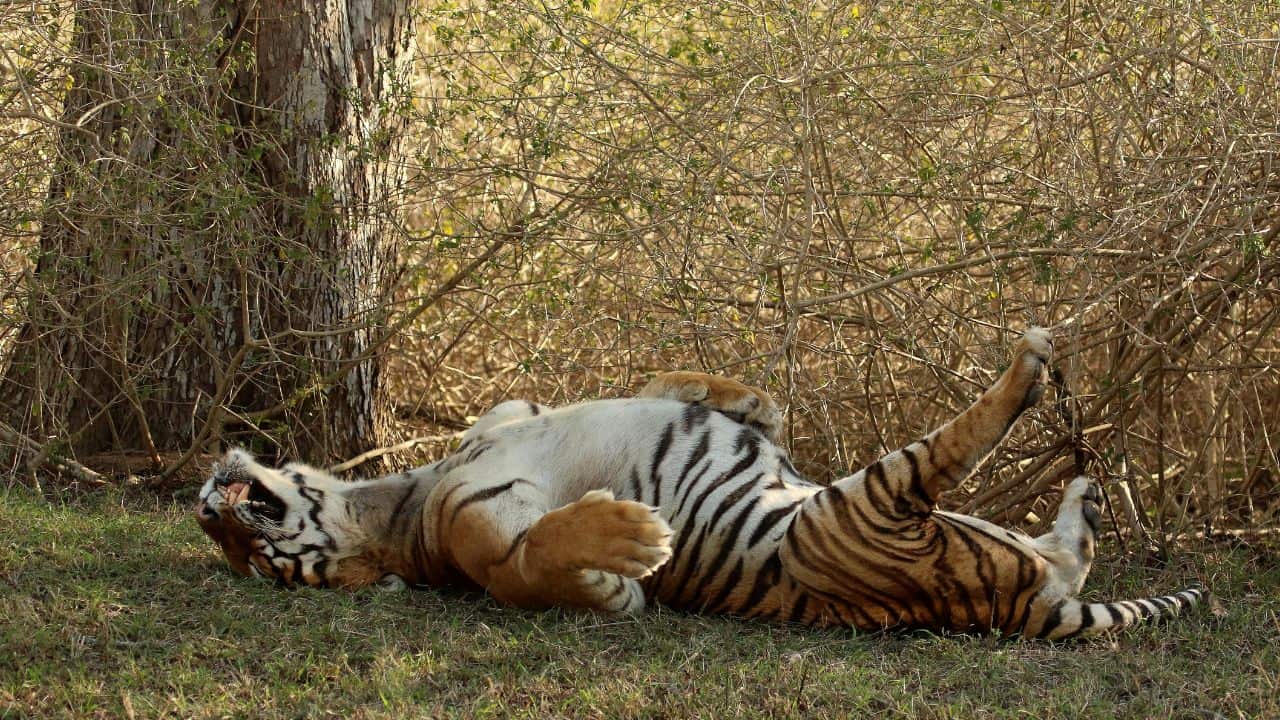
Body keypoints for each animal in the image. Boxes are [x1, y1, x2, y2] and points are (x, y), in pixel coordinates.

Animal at [196, 328, 1205, 639]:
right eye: (260, 568)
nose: (208, 511)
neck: (401, 494)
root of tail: (1015, 607)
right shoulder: (486, 545)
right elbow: (536, 558)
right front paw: (630, 547)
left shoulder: (514, 404)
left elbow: (667, 382)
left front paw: (742, 399)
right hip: (869, 505)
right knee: (955, 446)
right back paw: (1029, 371)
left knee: (1071, 547)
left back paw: (1084, 493)